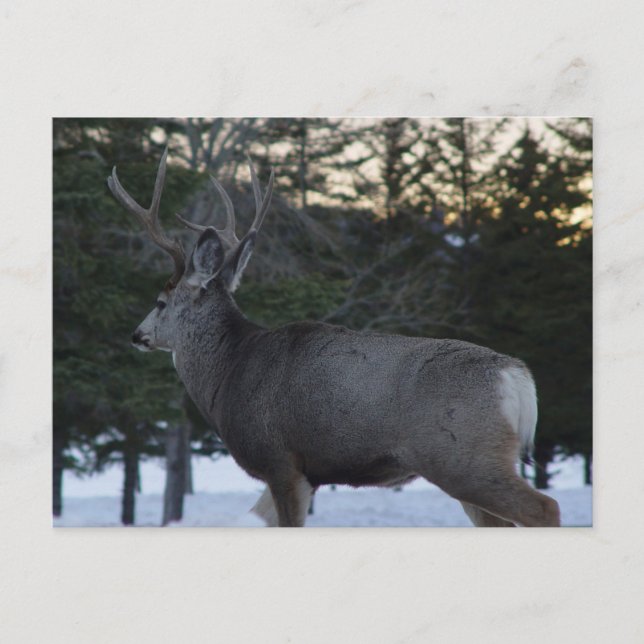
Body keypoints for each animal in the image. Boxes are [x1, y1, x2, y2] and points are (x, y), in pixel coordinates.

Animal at [108, 148, 561, 528]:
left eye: (161, 301)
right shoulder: (304, 473)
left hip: (463, 456)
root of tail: (516, 375)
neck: (229, 371)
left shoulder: (280, 460)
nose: (137, 334)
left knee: (544, 508)